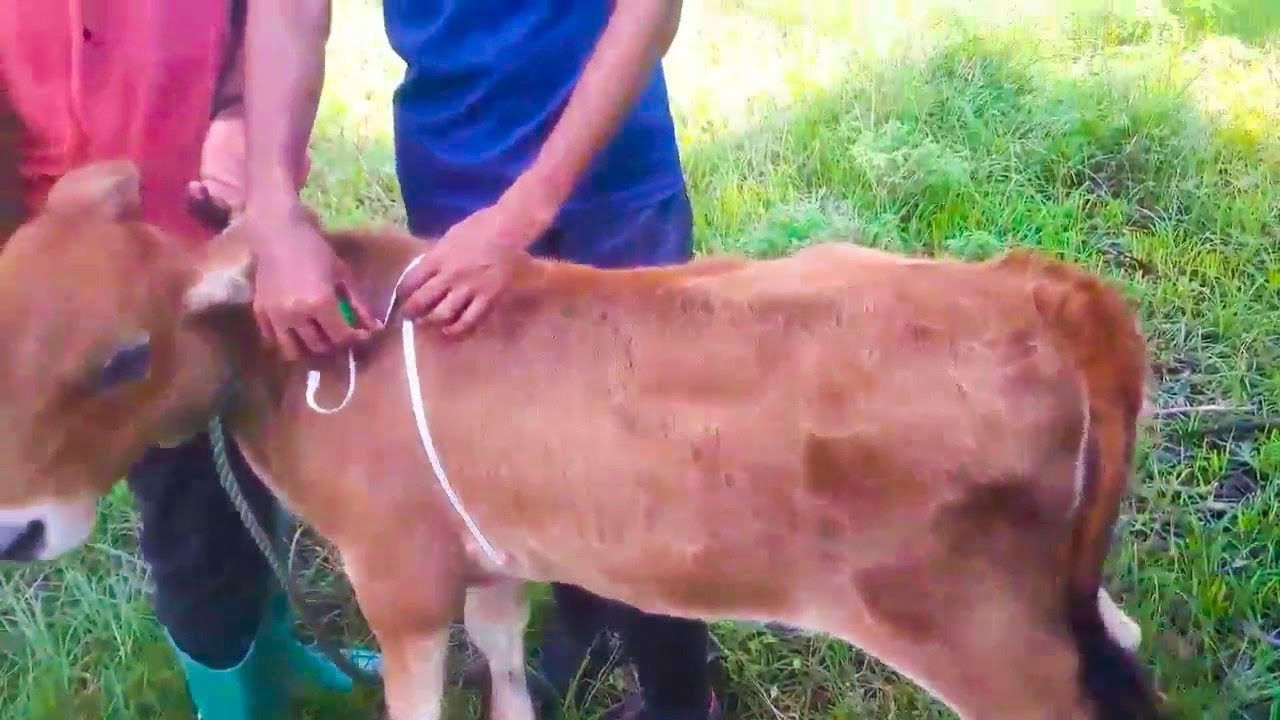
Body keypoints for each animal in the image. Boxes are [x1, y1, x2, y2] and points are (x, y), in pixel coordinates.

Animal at [0, 160, 1164, 720]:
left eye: (121, 357)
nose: (15, 533)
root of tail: (1033, 285)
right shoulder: (490, 559)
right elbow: (507, 669)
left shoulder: (398, 580)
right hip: (1057, 593)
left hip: (979, 636)